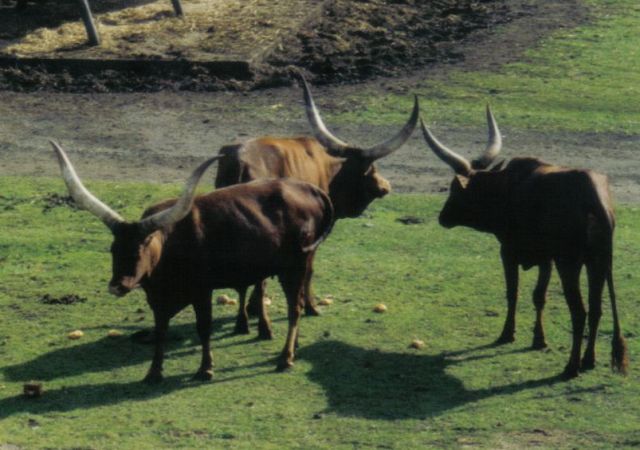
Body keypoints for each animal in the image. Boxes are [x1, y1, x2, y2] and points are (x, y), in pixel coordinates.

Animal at [50, 141, 334, 382]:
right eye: (113, 248)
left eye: (143, 246)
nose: (118, 285)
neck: (169, 248)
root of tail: (310, 189)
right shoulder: (158, 300)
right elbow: (160, 331)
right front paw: (154, 372)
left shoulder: (201, 291)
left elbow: (203, 328)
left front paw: (205, 368)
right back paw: (293, 346)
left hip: (297, 264)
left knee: (295, 308)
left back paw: (285, 358)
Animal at [215, 73, 419, 335]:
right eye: (372, 168)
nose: (386, 185)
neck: (329, 171)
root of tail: (240, 159)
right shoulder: (311, 237)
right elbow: (309, 270)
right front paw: (310, 306)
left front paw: (253, 309)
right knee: (261, 279)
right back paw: (264, 327)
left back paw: (243, 322)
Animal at [420, 106, 628, 379]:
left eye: (455, 188)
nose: (442, 217)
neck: (506, 188)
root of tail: (594, 196)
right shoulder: (545, 259)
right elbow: (539, 296)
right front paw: (538, 339)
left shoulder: (508, 251)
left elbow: (513, 292)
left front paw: (507, 334)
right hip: (598, 263)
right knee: (595, 309)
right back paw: (589, 360)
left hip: (569, 263)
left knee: (579, 312)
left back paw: (571, 366)